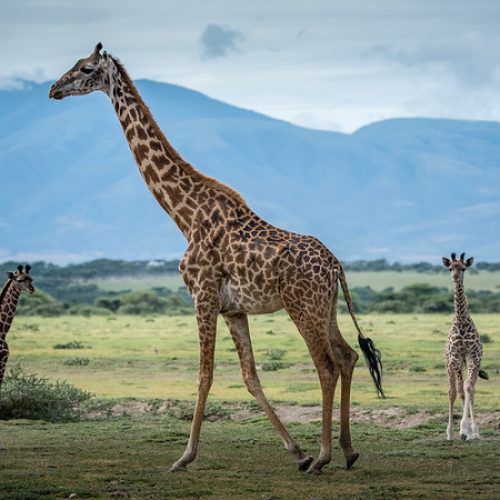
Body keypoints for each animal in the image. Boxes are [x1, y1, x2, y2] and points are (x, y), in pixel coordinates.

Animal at [49, 43, 382, 472]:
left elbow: (204, 374)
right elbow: (250, 375)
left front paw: (184, 457)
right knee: (347, 357)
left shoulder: (202, 296)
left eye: (86, 69)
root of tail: (335, 265)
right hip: (327, 307)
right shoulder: (233, 309)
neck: (185, 216)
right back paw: (346, 450)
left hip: (302, 306)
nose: (54, 89)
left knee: (325, 365)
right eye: (73, 65)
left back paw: (324, 457)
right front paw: (296, 450)